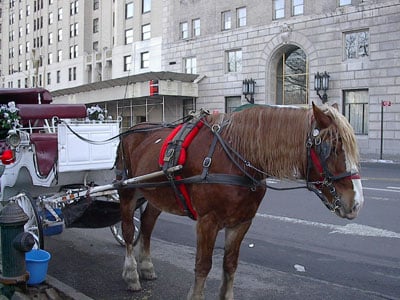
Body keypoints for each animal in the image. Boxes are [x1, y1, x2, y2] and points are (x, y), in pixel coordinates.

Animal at [115, 103, 362, 300]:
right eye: (331, 147)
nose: (356, 203)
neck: (236, 157)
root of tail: (133, 129)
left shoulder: (242, 222)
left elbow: (230, 264)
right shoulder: (207, 221)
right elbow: (203, 265)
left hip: (156, 195)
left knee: (147, 225)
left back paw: (146, 266)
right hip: (127, 192)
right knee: (128, 231)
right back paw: (131, 274)